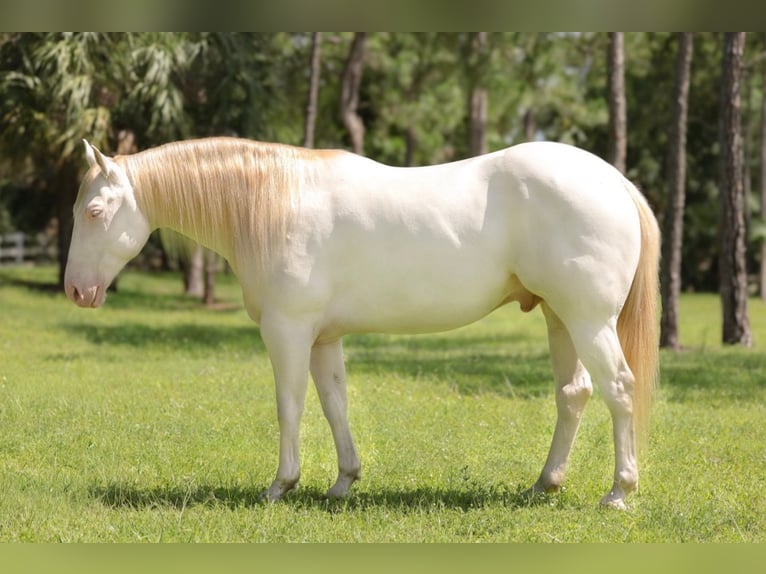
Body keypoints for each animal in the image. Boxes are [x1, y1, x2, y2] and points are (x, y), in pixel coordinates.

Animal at [64, 137, 659, 509]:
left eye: (93, 212)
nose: (75, 291)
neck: (275, 201)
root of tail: (614, 182)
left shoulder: (287, 331)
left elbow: (289, 407)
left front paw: (281, 486)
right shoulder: (323, 338)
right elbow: (334, 405)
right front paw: (343, 482)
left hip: (588, 321)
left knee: (619, 389)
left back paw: (619, 493)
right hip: (561, 319)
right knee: (574, 394)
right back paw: (544, 484)